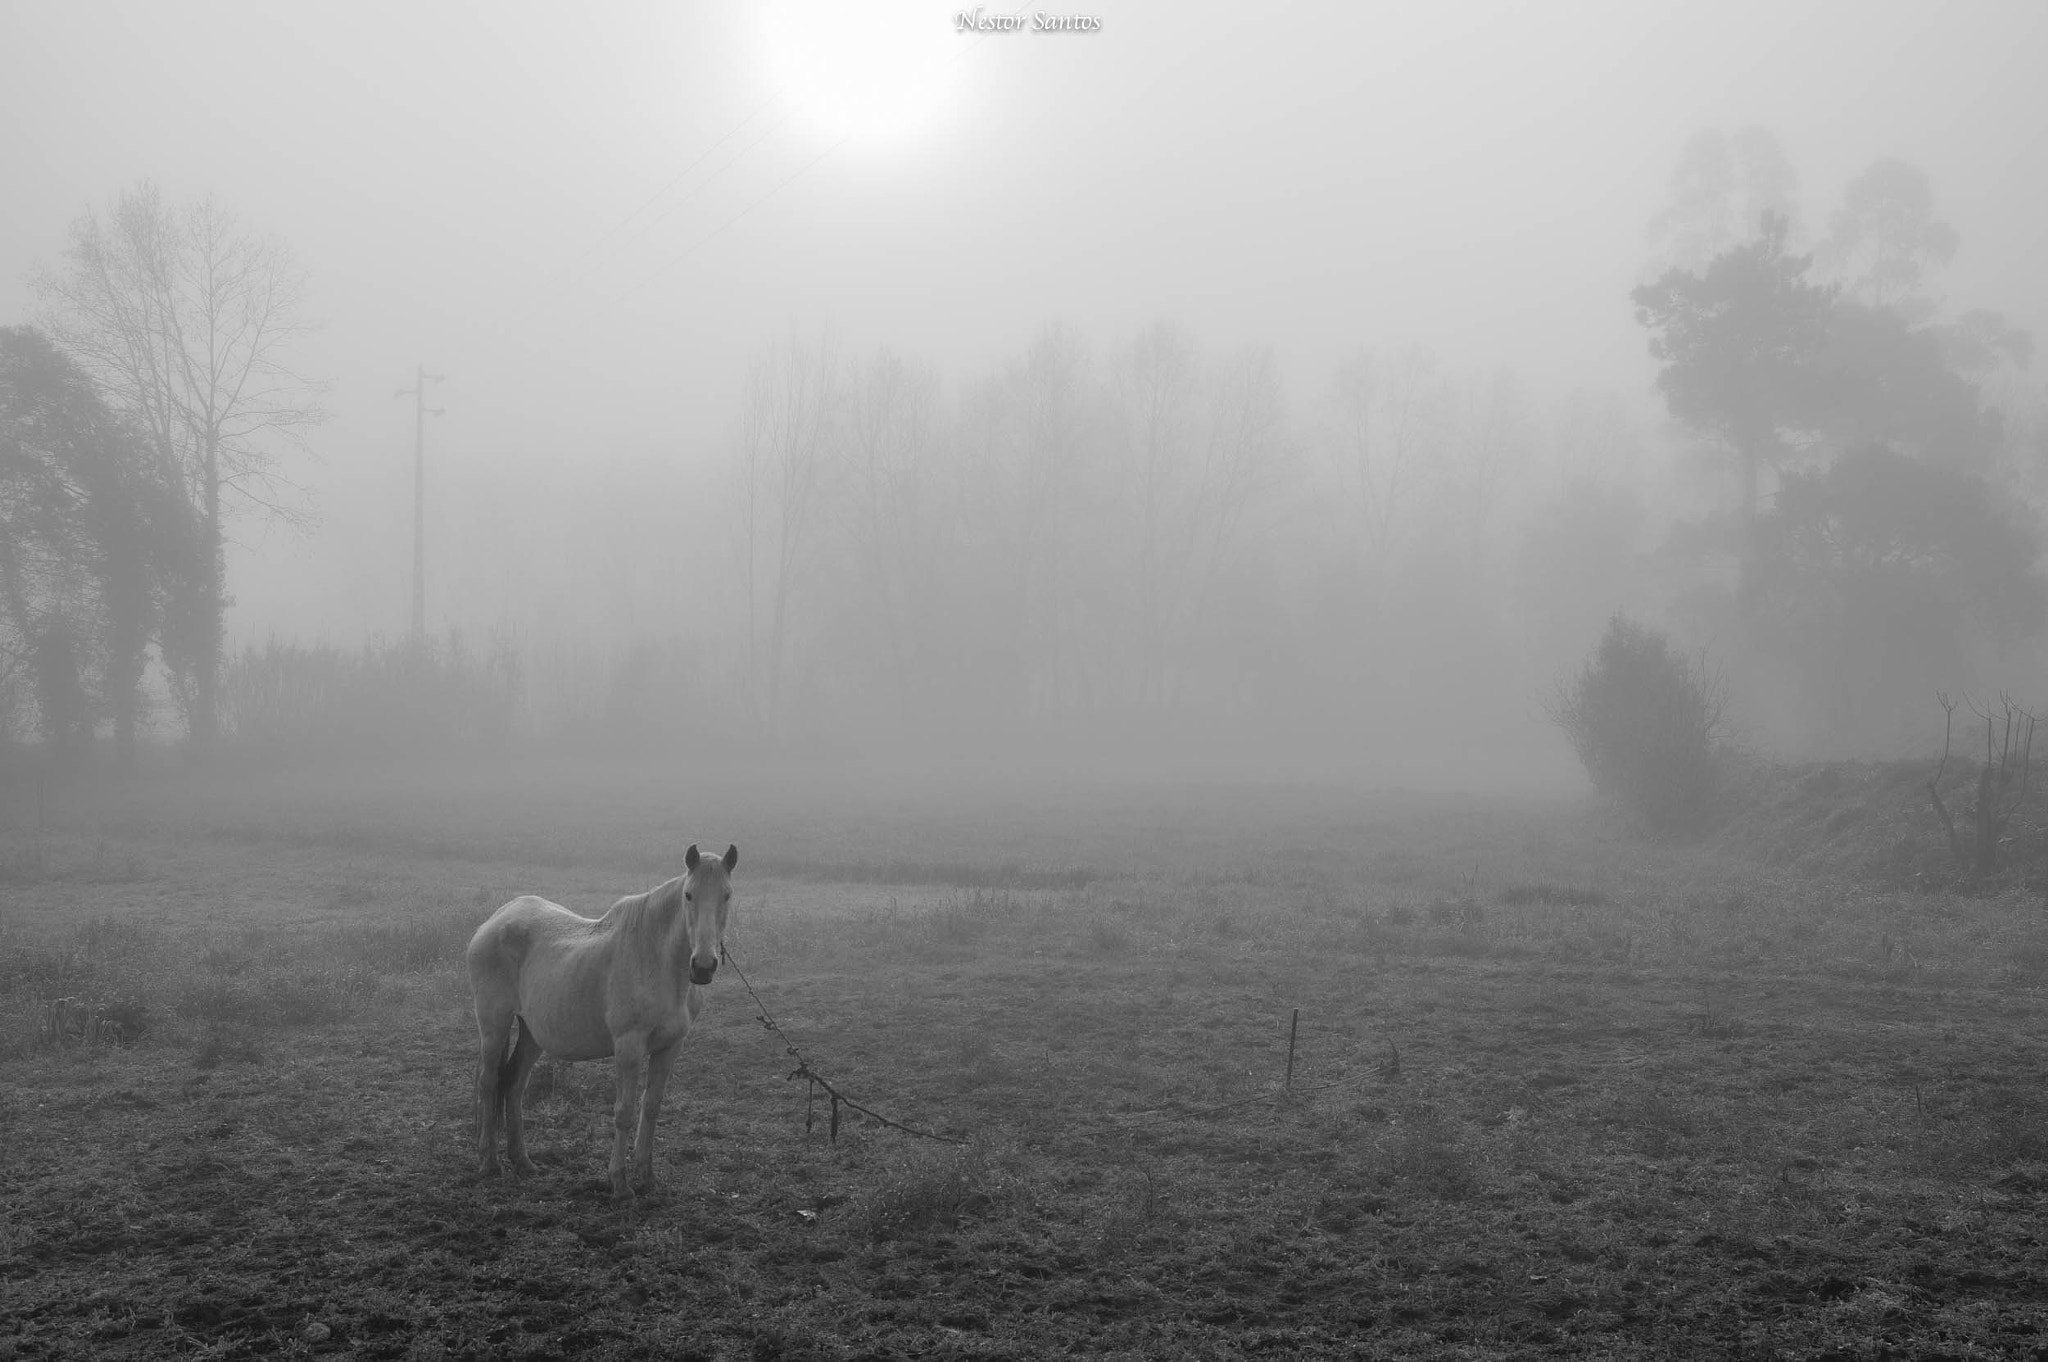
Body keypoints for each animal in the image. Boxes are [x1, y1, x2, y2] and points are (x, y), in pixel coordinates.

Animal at [468, 843, 741, 1196]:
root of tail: (495, 920)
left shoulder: (670, 1047)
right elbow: (624, 1112)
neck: (658, 962)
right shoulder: (629, 1047)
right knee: (489, 1082)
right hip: (494, 1025)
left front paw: (646, 1177)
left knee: (513, 1083)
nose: (704, 967)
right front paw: (620, 1183)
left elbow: (651, 1107)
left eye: (727, 895)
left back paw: (523, 1162)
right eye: (689, 895)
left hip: (531, 1033)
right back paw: (488, 1162)